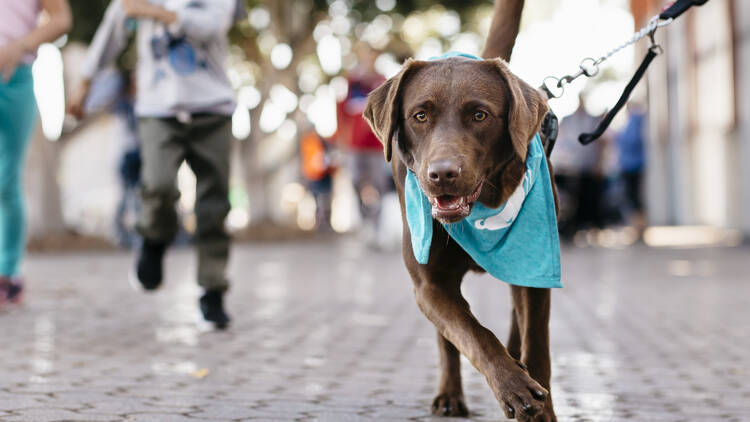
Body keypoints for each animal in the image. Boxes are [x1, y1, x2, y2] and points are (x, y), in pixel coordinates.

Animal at [364, 52, 560, 422]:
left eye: (480, 115)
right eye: (420, 116)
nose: (442, 174)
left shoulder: (535, 273)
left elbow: (538, 344)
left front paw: (542, 409)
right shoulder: (430, 284)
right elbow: (471, 333)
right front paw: (513, 384)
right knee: (448, 338)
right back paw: (450, 395)